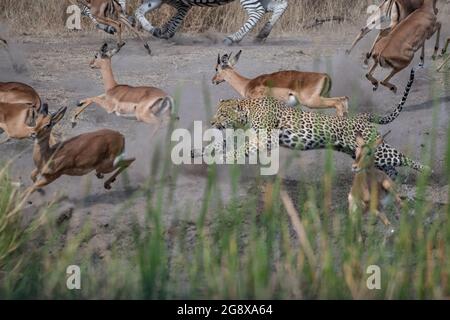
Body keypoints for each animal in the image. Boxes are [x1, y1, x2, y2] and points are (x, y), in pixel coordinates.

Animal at [134, 0, 288, 44]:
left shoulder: (181, 4)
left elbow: (177, 18)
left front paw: (162, 31)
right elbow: (139, 11)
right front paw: (160, 30)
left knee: (257, 10)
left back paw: (233, 38)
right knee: (281, 5)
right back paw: (262, 33)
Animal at [192, 68, 428, 178]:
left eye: (222, 114)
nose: (212, 122)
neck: (249, 109)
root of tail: (362, 117)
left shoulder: (264, 139)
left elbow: (237, 151)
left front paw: (223, 158)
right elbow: (219, 144)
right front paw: (197, 152)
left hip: (377, 149)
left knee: (402, 158)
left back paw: (427, 171)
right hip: (364, 154)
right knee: (392, 168)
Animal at [213, 52, 350, 117]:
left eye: (216, 68)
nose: (213, 80)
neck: (248, 84)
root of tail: (325, 75)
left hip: (311, 102)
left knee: (338, 103)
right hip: (324, 96)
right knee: (344, 99)